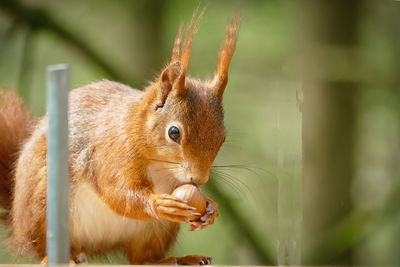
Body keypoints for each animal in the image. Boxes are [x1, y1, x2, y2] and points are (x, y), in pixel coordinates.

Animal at [0, 10, 241, 266]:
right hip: (43, 203)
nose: (199, 179)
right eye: (174, 132)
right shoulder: (113, 150)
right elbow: (117, 191)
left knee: (142, 258)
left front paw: (210, 210)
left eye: (222, 138)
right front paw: (158, 203)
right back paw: (60, 257)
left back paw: (177, 259)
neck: (159, 163)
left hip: (156, 231)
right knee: (40, 246)